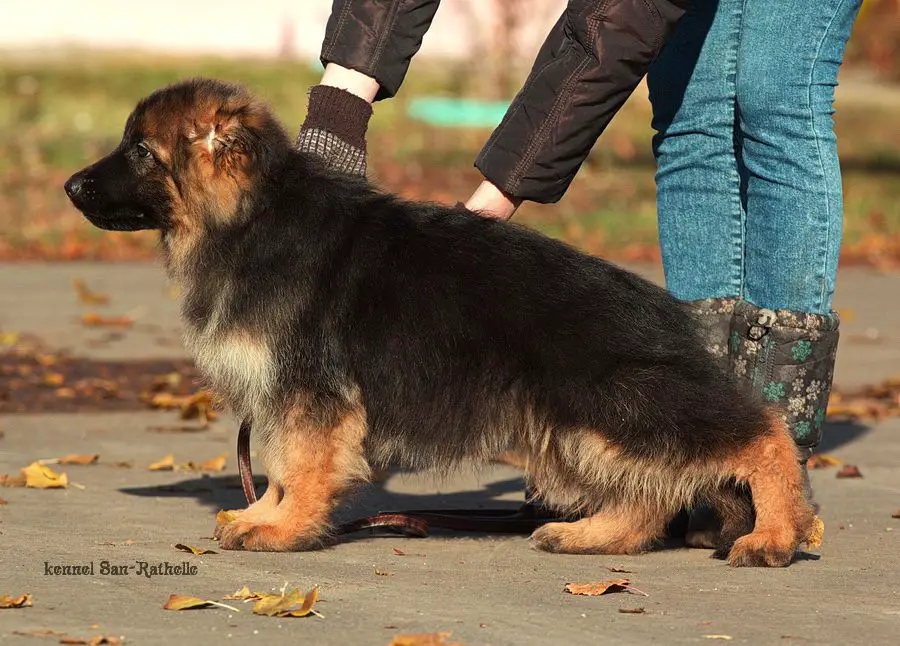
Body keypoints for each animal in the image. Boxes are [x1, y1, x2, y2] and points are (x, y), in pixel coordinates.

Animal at [67, 81, 820, 568]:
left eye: (141, 151)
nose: (70, 186)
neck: (252, 219)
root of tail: (665, 311)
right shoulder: (285, 394)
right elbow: (279, 465)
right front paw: (264, 514)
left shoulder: (310, 394)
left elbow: (299, 465)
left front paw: (287, 529)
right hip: (573, 431)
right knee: (649, 496)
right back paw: (592, 537)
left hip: (615, 406)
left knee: (761, 432)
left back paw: (777, 534)